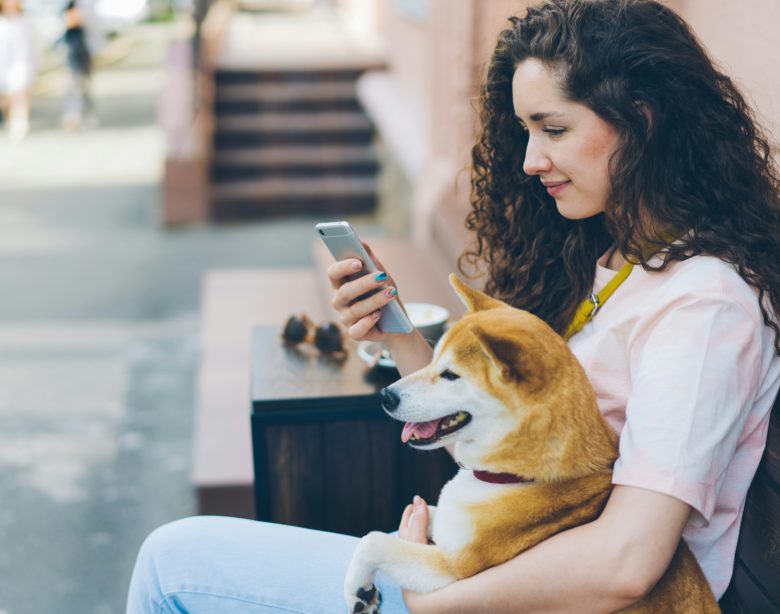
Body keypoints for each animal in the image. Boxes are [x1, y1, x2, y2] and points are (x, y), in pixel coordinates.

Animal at [342, 276, 720, 614]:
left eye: (450, 375)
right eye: (433, 360)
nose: (385, 395)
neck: (514, 478)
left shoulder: (455, 569)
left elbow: (374, 540)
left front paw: (355, 588)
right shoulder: (450, 527)